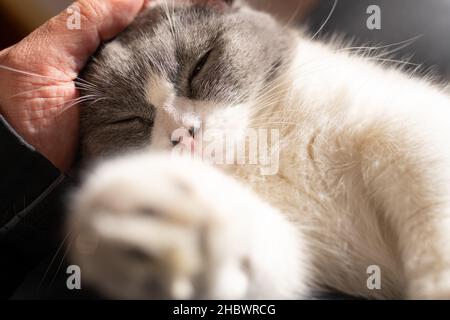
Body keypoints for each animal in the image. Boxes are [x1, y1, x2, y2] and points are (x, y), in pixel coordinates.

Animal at [68, 0, 450, 300]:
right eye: (128, 119)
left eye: (199, 66)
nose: (183, 131)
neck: (269, 155)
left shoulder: (410, 134)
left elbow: (434, 222)